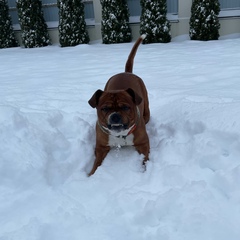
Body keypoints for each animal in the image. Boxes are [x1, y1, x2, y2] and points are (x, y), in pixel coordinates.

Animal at [87, 34, 149, 175]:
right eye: (104, 108)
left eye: (126, 107)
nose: (115, 116)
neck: (121, 135)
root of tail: (126, 72)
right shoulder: (100, 147)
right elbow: (96, 163)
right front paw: (91, 174)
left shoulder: (143, 144)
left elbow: (145, 159)